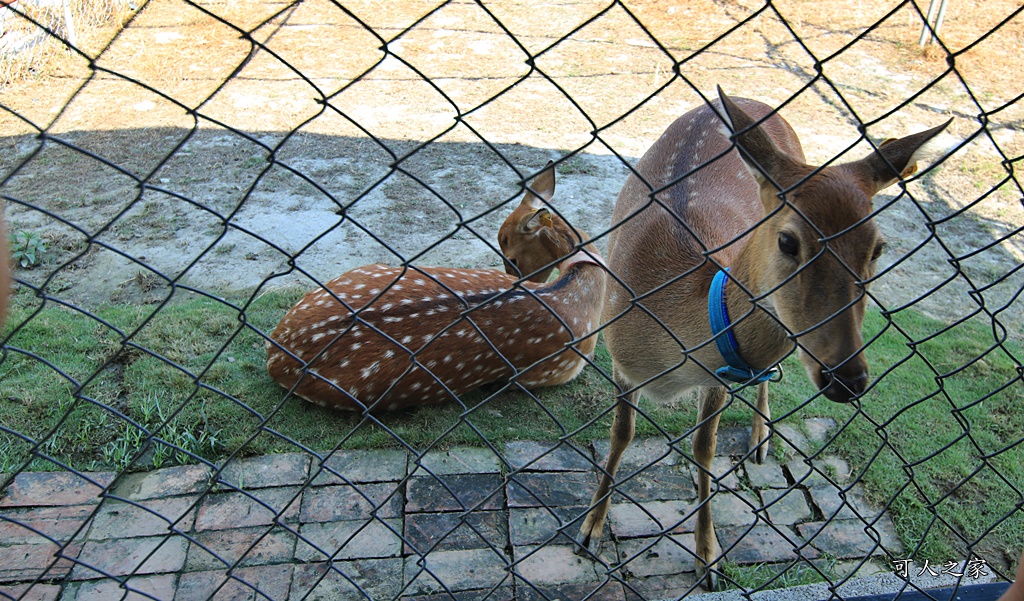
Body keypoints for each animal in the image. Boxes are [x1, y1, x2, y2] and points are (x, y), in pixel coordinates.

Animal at [577, 87, 950, 589]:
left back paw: (760, 439)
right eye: (789, 241)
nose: (847, 378)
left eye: (878, 248)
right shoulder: (619, 357)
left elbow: (704, 449)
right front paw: (590, 529)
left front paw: (708, 557)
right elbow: (621, 434)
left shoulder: (719, 375)